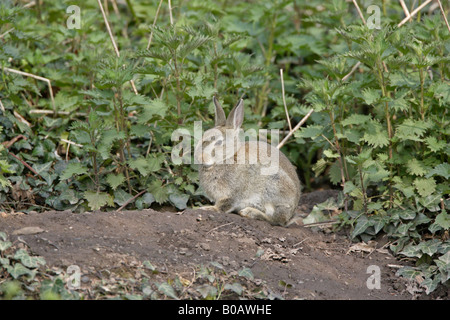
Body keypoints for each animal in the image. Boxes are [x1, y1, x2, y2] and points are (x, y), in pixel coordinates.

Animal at [194, 96, 302, 226]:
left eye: (219, 142)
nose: (199, 157)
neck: (228, 157)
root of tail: (292, 212)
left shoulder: (232, 194)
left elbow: (224, 205)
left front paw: (209, 208)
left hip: (274, 187)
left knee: (276, 220)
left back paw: (250, 212)